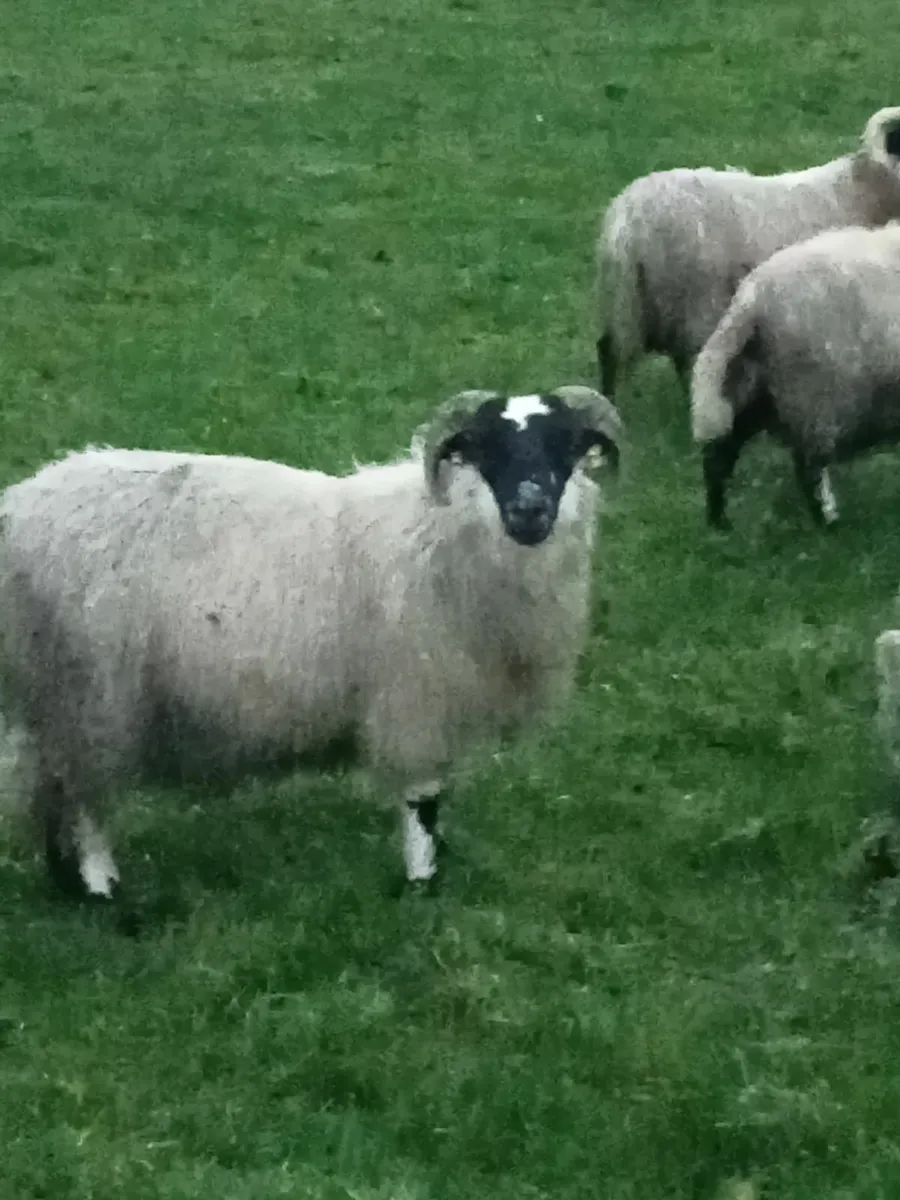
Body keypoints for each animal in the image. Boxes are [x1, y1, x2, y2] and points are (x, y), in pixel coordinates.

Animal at [0, 386, 622, 901]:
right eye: (489, 448)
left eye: (565, 446)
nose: (529, 509)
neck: (441, 531)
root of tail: (18, 507)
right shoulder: (417, 697)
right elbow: (422, 801)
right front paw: (423, 881)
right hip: (89, 691)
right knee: (84, 799)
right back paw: (102, 887)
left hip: (58, 697)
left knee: (53, 789)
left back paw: (66, 881)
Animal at [689, 222, 900, 529]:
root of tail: (750, 300)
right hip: (814, 397)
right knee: (808, 470)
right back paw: (829, 523)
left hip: (754, 391)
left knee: (719, 456)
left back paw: (720, 524)